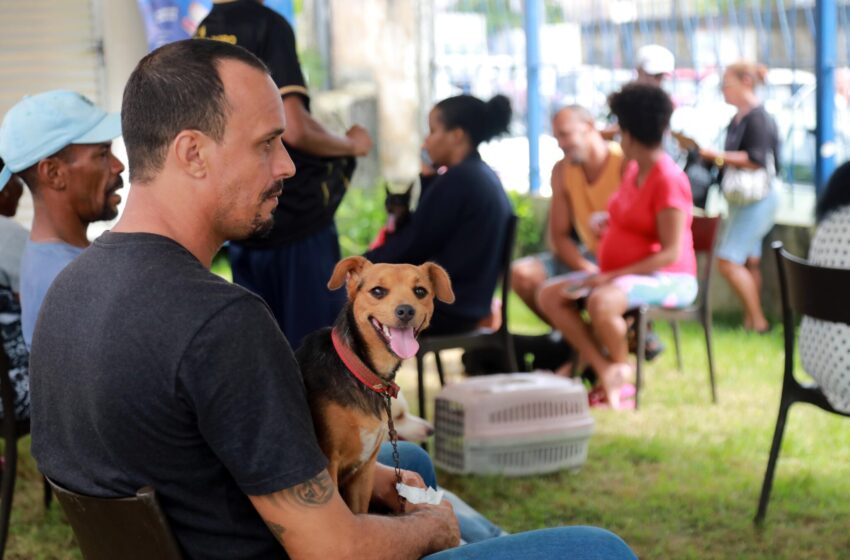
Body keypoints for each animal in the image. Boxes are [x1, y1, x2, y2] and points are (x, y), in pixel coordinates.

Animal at [294, 256, 454, 516]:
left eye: (420, 291)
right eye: (377, 291)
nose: (406, 310)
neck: (360, 370)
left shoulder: (364, 470)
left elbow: (360, 513)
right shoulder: (329, 465)